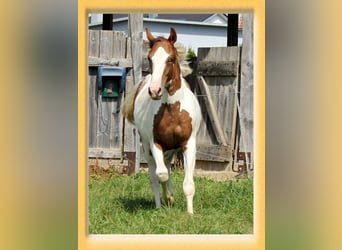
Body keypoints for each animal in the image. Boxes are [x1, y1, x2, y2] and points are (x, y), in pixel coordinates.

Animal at [123, 28, 202, 214]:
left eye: (170, 58)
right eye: (149, 58)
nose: (155, 90)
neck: (172, 110)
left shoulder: (188, 144)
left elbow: (188, 184)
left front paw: (190, 213)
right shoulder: (155, 143)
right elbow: (162, 174)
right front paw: (169, 198)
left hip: (171, 149)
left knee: (166, 166)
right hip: (147, 147)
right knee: (155, 175)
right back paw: (160, 205)